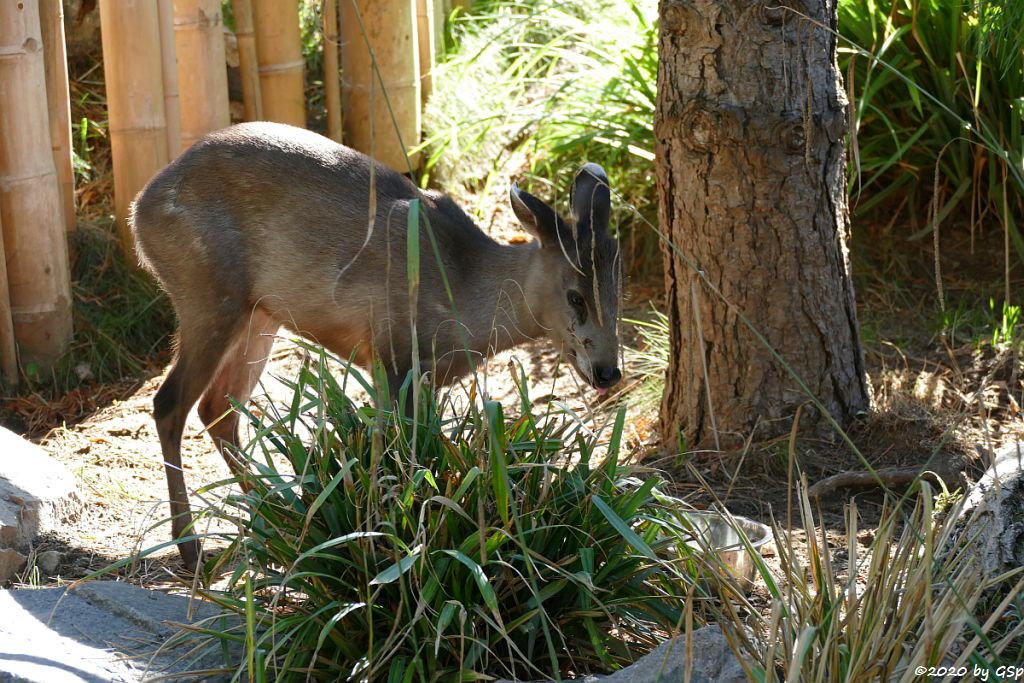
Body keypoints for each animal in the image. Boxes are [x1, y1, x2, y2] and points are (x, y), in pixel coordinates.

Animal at [130, 121, 622, 565]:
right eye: (575, 295)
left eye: (617, 291)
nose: (608, 371)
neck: (464, 293)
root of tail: (139, 210)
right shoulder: (393, 353)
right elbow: (396, 451)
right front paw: (395, 541)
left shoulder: (422, 375)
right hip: (208, 290)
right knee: (170, 402)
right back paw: (192, 547)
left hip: (259, 314)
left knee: (219, 409)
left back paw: (277, 518)